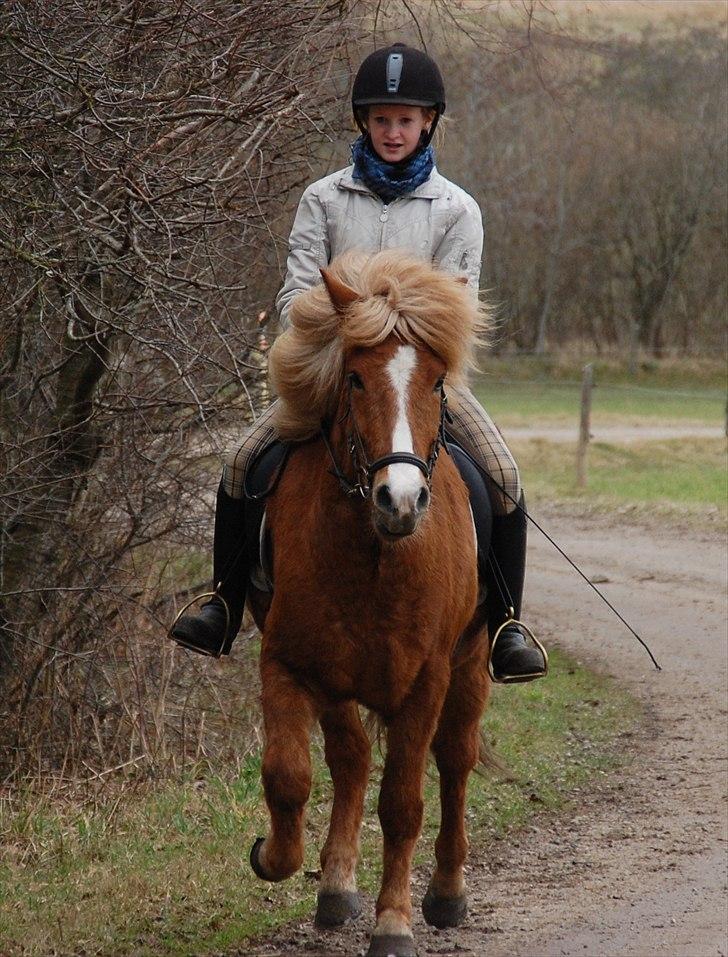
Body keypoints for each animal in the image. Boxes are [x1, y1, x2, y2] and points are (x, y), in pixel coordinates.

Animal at [247, 248, 492, 956]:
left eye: (436, 383)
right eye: (354, 379)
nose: (400, 500)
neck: (376, 557)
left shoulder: (426, 680)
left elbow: (404, 803)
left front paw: (394, 923)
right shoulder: (290, 663)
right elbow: (288, 775)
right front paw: (275, 856)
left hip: (470, 667)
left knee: (456, 760)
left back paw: (446, 893)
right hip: (338, 681)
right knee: (351, 759)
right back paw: (335, 888)